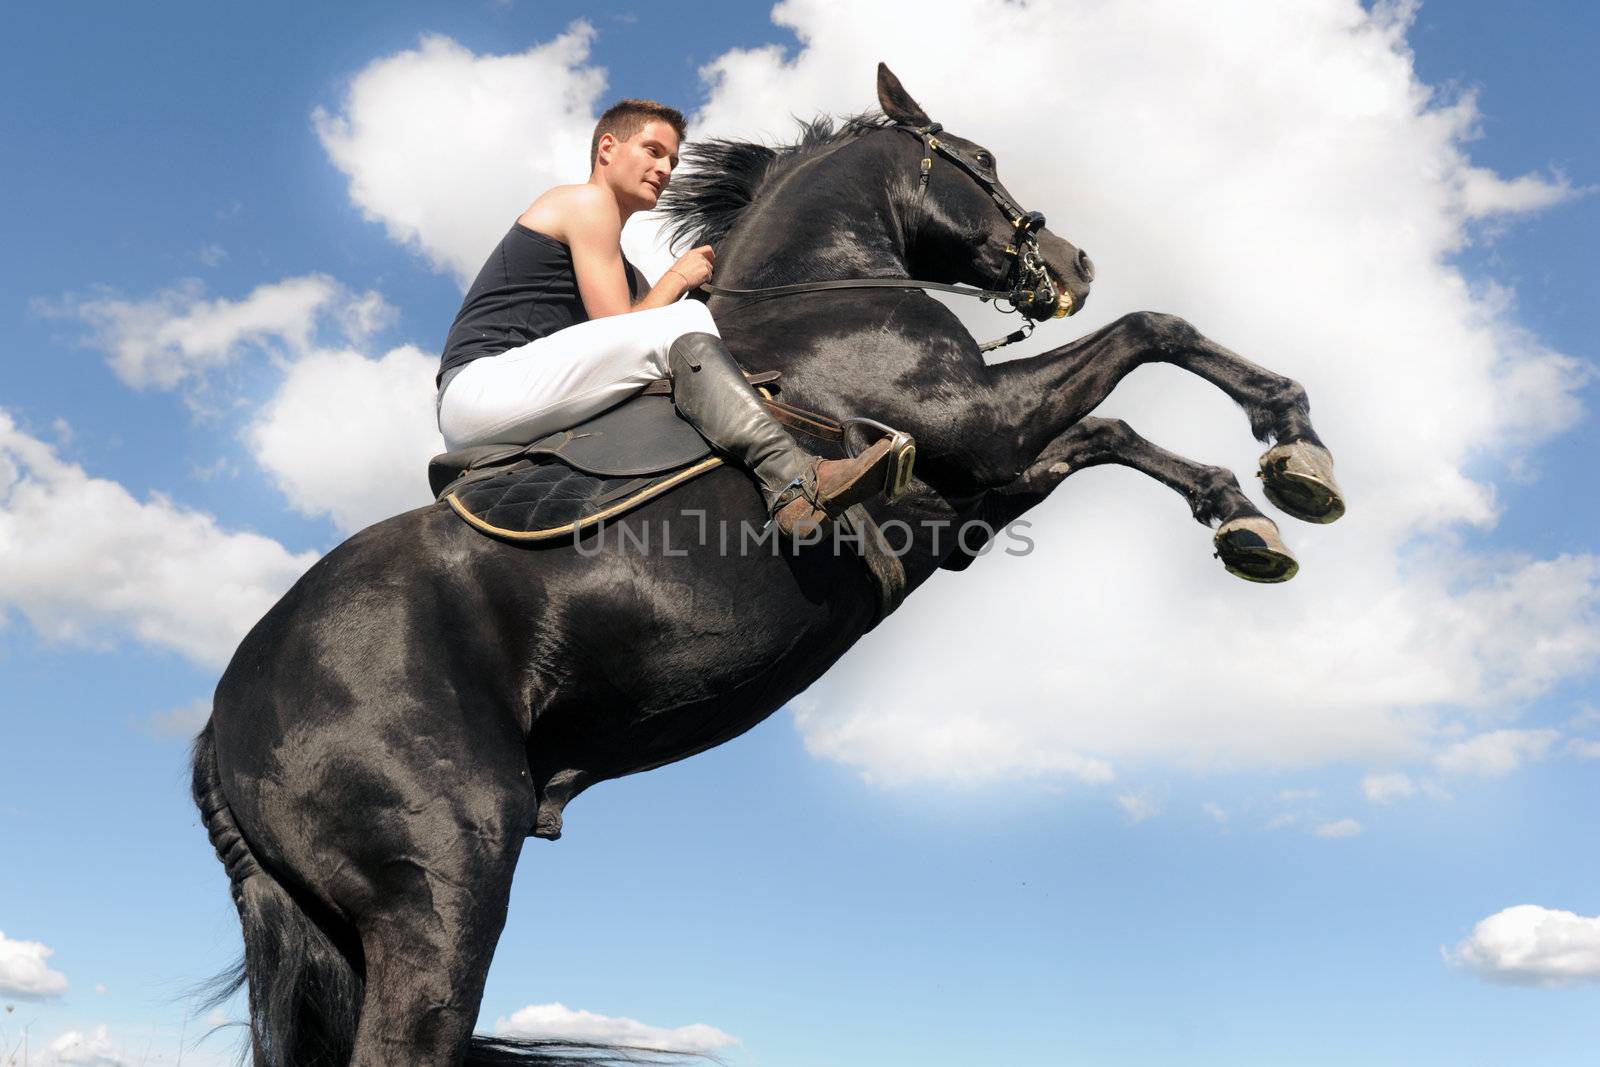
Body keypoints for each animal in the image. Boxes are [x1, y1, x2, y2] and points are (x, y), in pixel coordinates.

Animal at [190, 62, 1337, 1062]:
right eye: (979, 158)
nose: (1075, 263)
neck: (818, 290)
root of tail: (223, 721)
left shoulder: (988, 477)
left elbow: (1115, 432)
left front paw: (1248, 517)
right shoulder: (981, 424)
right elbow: (1153, 332)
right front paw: (1294, 444)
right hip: (441, 882)